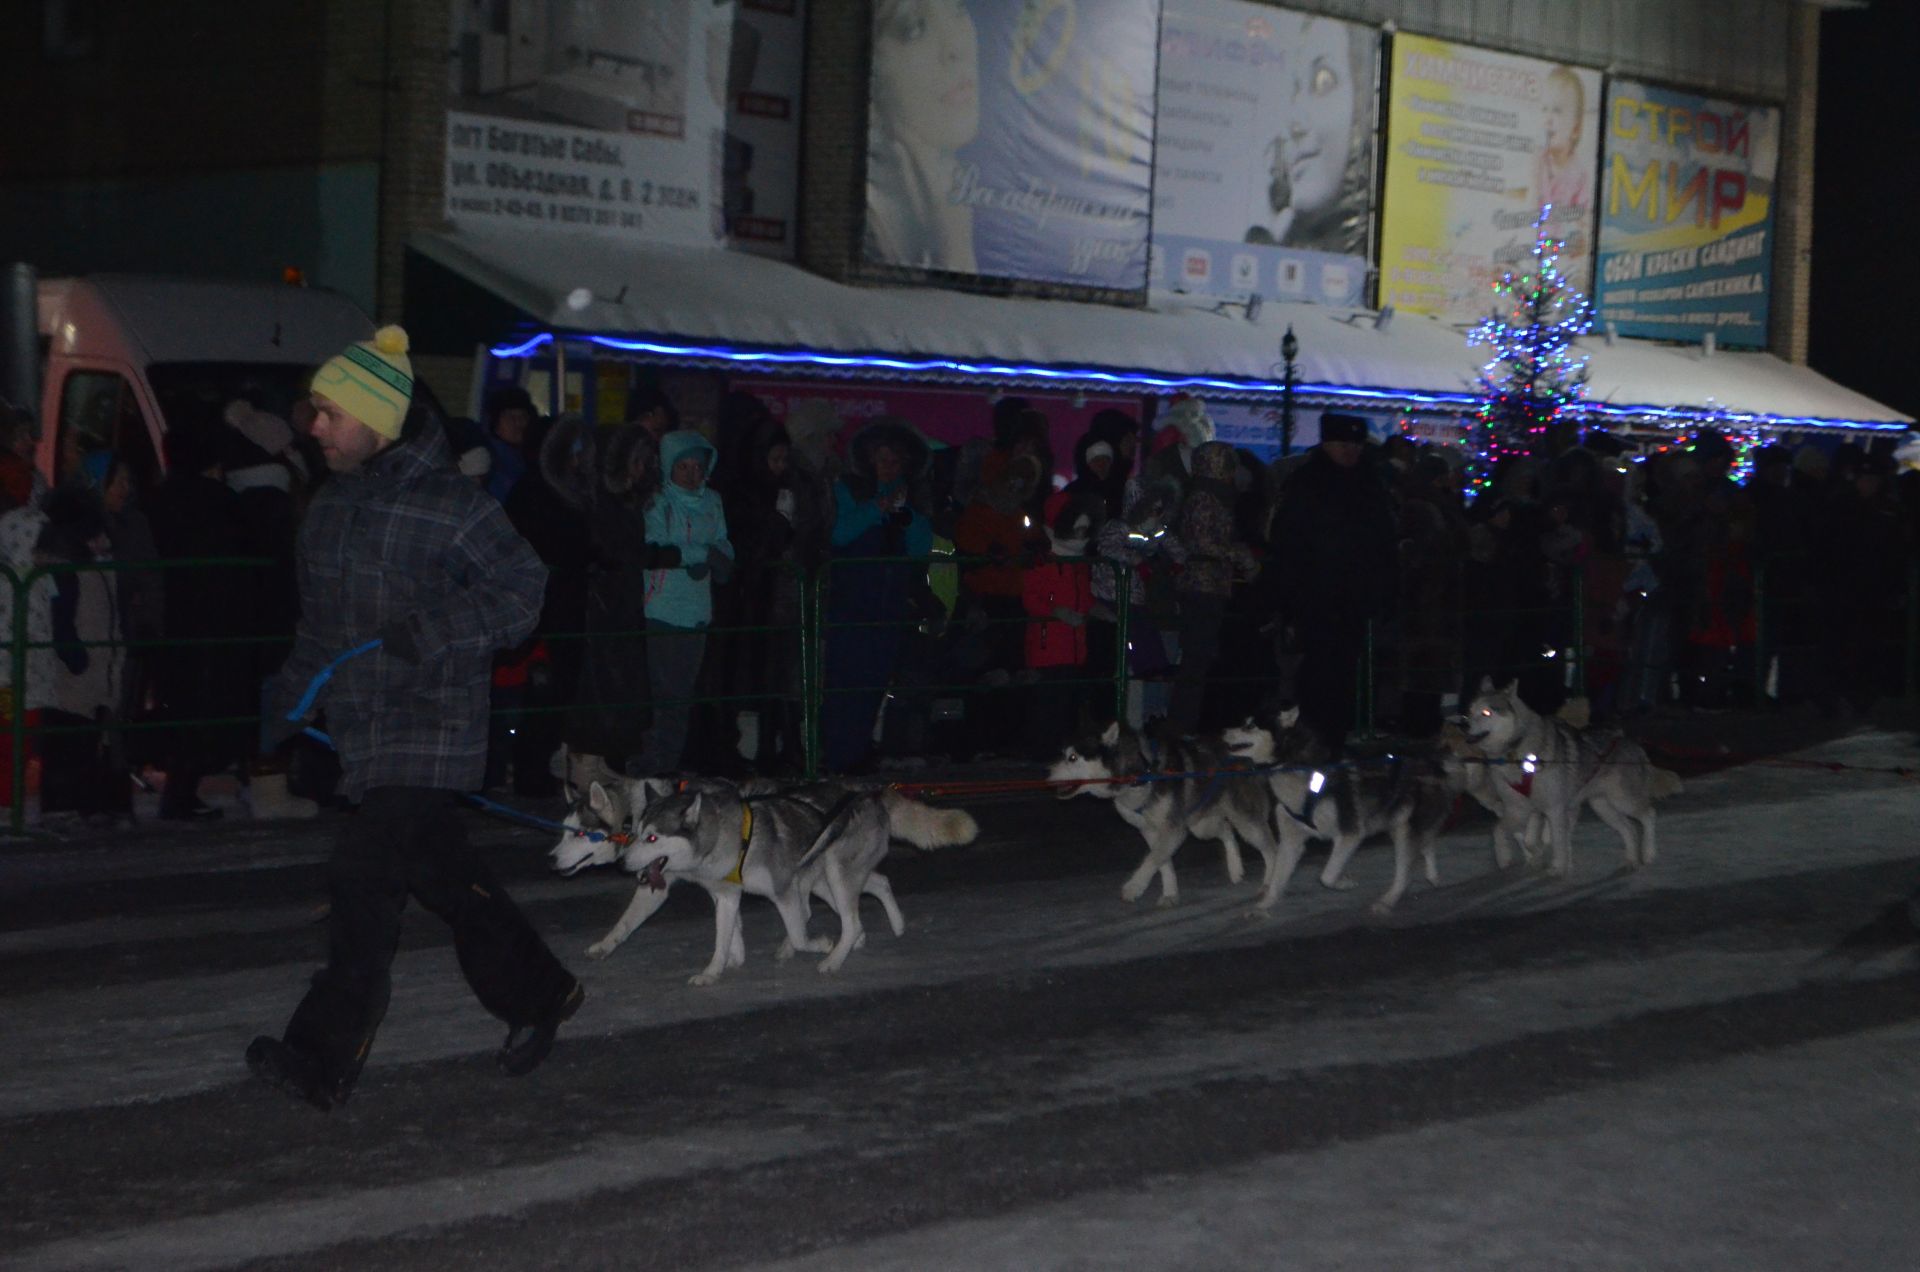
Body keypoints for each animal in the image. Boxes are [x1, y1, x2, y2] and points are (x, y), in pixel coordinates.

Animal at [614, 776, 975, 983]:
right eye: (635, 832)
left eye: (652, 838)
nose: (621, 862)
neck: (730, 840)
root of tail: (869, 790)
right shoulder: (728, 895)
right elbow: (724, 939)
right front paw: (713, 972)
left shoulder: (784, 889)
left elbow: (801, 933)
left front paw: (819, 944)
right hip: (827, 876)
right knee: (878, 883)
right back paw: (893, 925)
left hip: (834, 872)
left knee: (852, 919)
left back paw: (834, 957)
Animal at [1052, 722, 1274, 910]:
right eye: (1063, 755)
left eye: (1072, 758)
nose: (1047, 774)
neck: (1140, 772)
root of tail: (1246, 750)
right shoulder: (1150, 830)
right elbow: (1162, 861)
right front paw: (1170, 894)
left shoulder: (1173, 829)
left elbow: (1152, 859)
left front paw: (1134, 886)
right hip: (1201, 826)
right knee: (1227, 831)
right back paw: (1235, 868)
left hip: (1245, 821)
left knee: (1271, 848)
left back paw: (1270, 884)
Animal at [1221, 710, 1443, 922]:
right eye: (1245, 722)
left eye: (1250, 725)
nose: (1222, 732)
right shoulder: (1291, 841)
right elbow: (1277, 880)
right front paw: (1264, 906)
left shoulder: (1350, 833)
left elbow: (1327, 876)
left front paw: (1343, 883)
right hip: (1397, 824)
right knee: (1427, 844)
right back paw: (1432, 876)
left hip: (1405, 828)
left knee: (1407, 872)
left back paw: (1387, 902)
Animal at [1466, 684, 1681, 883]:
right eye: (1470, 711)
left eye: (1486, 712)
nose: (1464, 726)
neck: (1516, 752)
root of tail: (1631, 742)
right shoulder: (1520, 808)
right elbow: (1506, 832)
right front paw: (1514, 857)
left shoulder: (1554, 808)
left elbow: (1557, 842)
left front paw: (1558, 869)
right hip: (1603, 807)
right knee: (1629, 828)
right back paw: (1631, 861)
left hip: (1623, 800)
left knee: (1648, 815)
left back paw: (1649, 853)